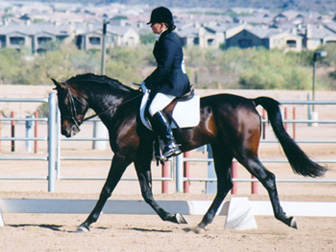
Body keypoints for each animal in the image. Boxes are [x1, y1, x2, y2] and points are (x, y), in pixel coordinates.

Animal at [51, 72, 326, 232]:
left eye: (64, 101)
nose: (66, 130)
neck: (121, 108)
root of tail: (250, 102)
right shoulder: (139, 159)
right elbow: (147, 193)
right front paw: (174, 216)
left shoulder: (123, 157)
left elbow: (106, 189)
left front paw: (86, 223)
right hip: (222, 151)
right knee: (225, 185)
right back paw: (202, 224)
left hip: (244, 153)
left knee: (267, 178)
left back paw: (286, 218)